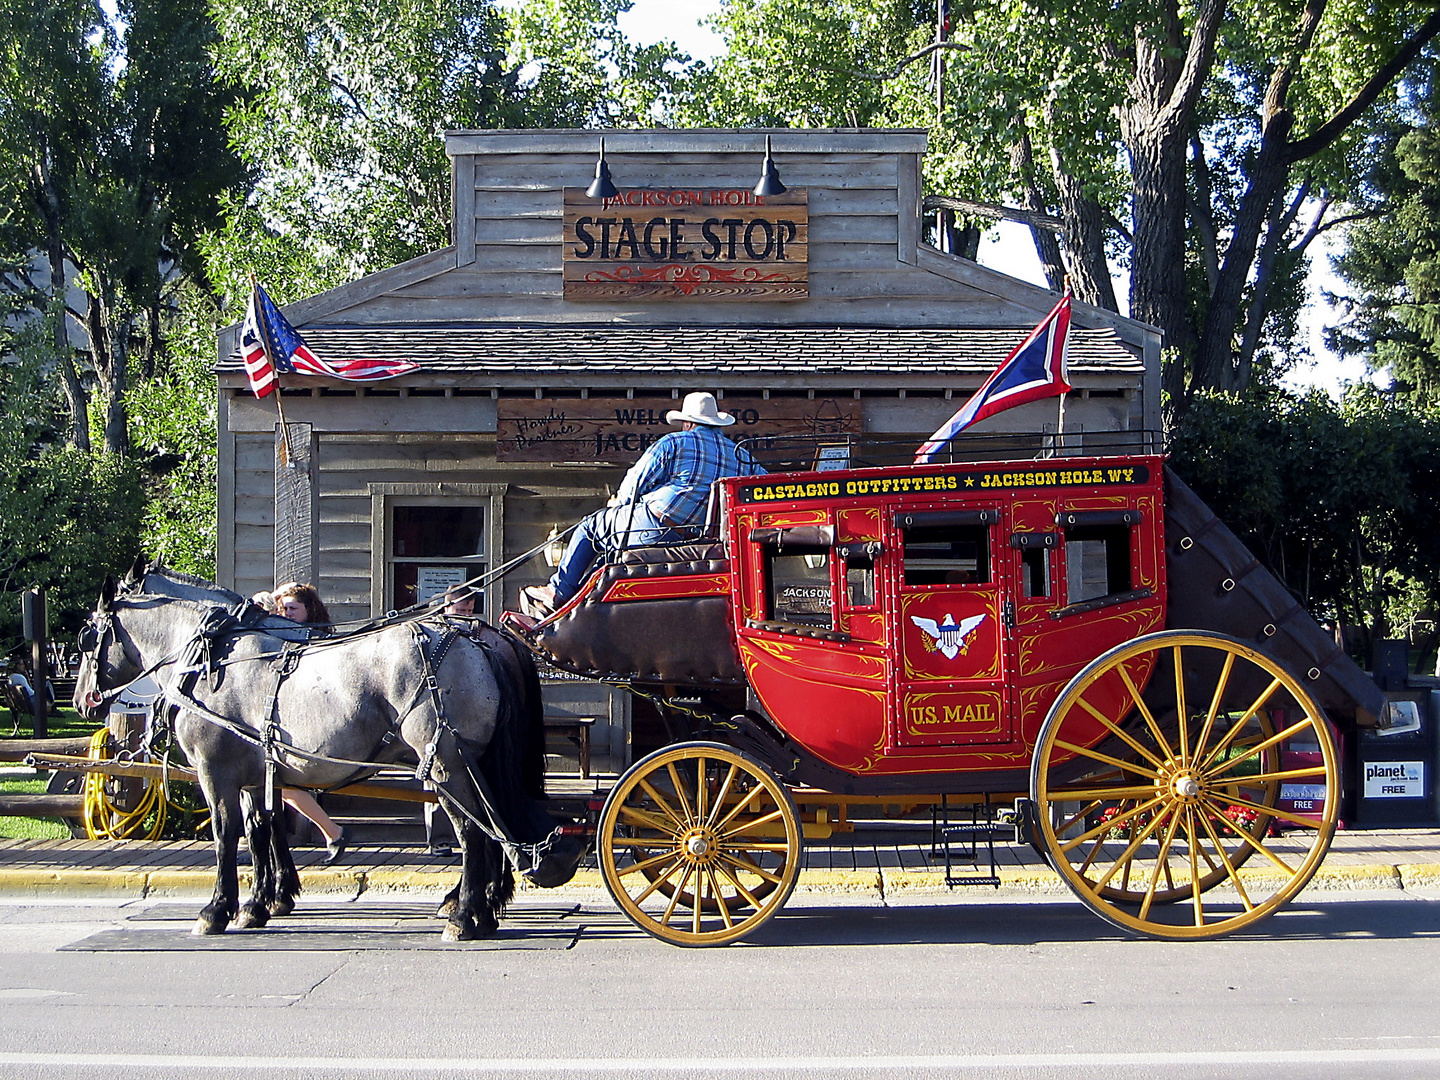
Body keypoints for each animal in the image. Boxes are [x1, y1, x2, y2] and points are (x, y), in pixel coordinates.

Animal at [75, 576, 581, 938]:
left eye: (85, 637)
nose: (83, 701)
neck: (213, 658)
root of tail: (475, 640)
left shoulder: (214, 770)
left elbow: (226, 837)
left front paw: (218, 909)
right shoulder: (256, 773)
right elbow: (260, 833)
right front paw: (259, 904)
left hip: (447, 763)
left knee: (473, 831)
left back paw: (466, 916)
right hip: (471, 762)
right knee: (491, 826)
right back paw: (482, 908)